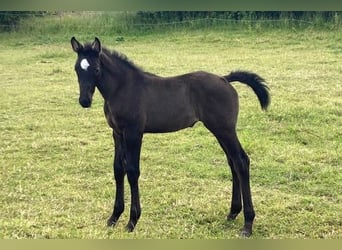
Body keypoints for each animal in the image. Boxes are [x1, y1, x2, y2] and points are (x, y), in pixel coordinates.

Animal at [71, 36, 270, 236]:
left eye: (96, 69)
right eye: (77, 69)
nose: (84, 101)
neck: (123, 88)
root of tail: (225, 78)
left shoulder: (134, 133)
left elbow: (133, 171)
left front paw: (132, 221)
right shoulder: (117, 133)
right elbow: (118, 169)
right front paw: (114, 217)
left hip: (225, 129)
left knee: (241, 161)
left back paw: (248, 224)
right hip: (220, 131)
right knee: (232, 162)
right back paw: (233, 213)